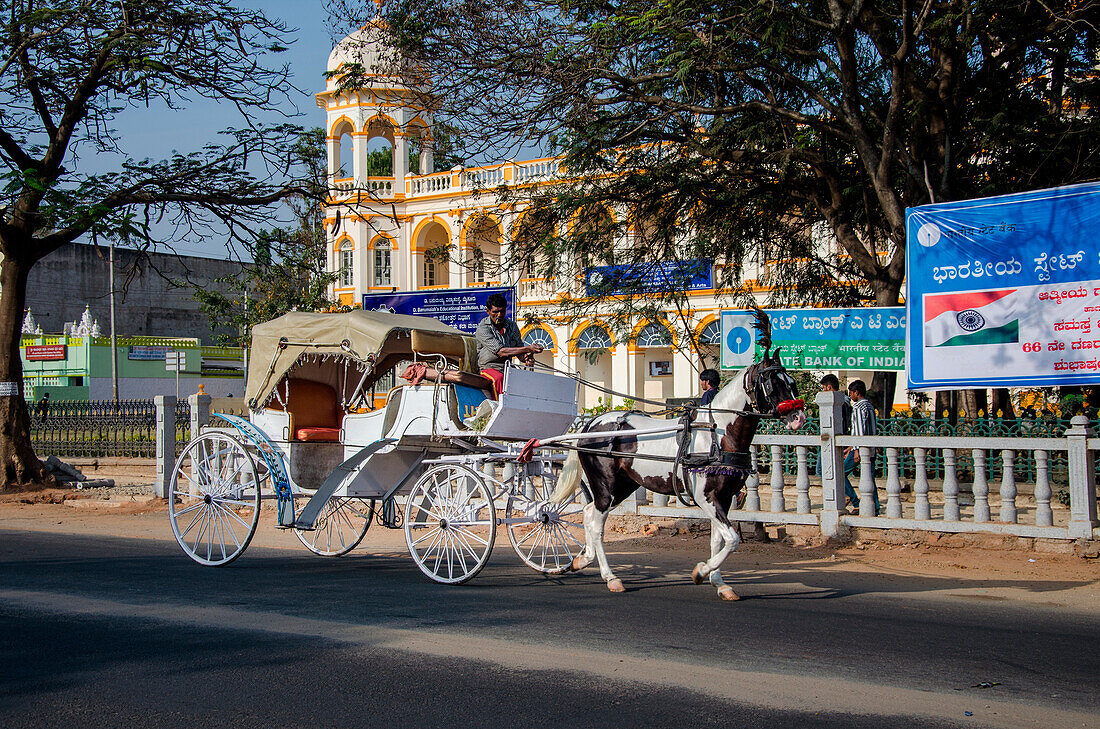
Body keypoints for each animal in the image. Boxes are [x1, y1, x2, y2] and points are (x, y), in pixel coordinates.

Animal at [550, 310, 809, 602]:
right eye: (771, 383)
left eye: (791, 382)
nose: (798, 418)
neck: (718, 433)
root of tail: (591, 423)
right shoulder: (706, 497)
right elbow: (732, 539)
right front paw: (701, 571)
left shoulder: (723, 498)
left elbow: (718, 540)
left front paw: (719, 582)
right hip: (605, 484)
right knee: (596, 524)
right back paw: (610, 576)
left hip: (624, 485)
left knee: (588, 512)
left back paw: (583, 559)